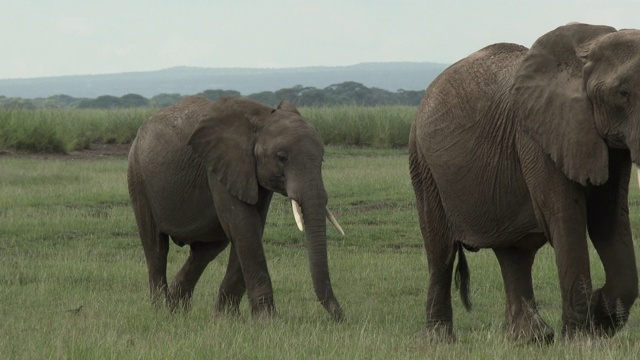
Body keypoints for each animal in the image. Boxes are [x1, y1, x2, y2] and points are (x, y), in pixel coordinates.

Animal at [126, 95, 344, 320]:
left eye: (322, 159)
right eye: (281, 157)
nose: (340, 316)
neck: (261, 117)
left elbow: (252, 226)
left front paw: (226, 318)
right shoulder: (220, 165)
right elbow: (244, 225)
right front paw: (267, 320)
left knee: (205, 251)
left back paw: (177, 308)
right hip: (138, 177)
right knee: (156, 246)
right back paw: (161, 311)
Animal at [410, 23, 640, 344]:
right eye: (623, 93)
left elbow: (608, 217)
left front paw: (599, 318)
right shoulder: (536, 135)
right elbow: (566, 218)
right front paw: (582, 339)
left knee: (514, 254)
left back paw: (530, 339)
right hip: (424, 166)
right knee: (440, 251)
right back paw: (439, 341)